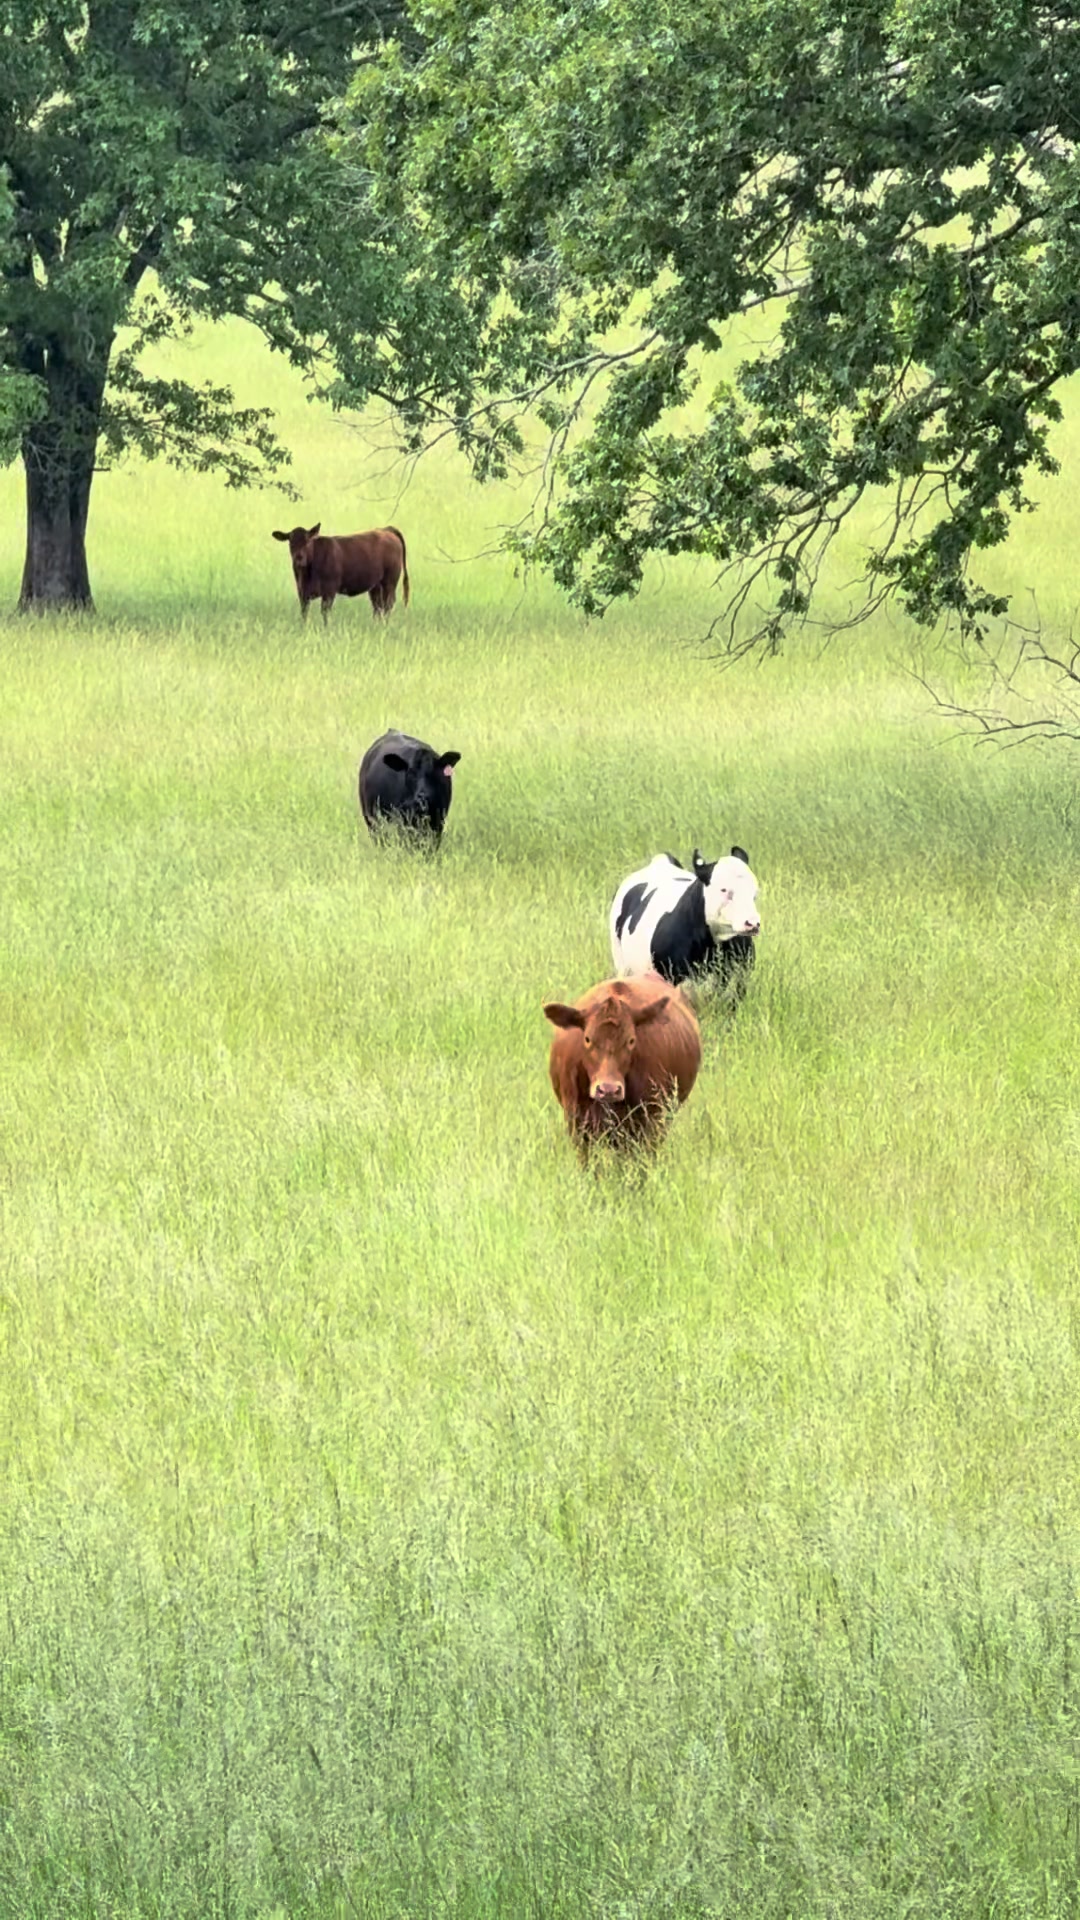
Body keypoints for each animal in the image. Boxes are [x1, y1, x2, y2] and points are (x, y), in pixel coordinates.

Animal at [271, 522, 410, 621]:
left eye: (308, 541)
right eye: (290, 542)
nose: (298, 558)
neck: (307, 574)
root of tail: (386, 530)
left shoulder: (329, 590)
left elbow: (325, 613)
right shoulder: (302, 593)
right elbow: (304, 614)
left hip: (390, 581)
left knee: (388, 605)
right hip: (375, 585)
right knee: (378, 606)